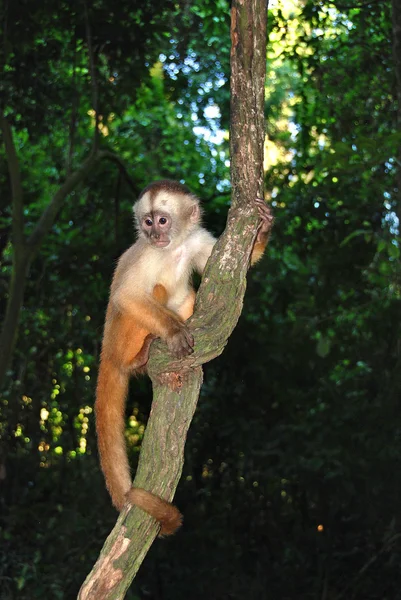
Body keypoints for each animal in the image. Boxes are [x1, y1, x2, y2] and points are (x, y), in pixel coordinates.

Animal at [95, 179, 274, 536]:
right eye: (147, 222)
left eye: (162, 221)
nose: (153, 234)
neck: (171, 248)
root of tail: (108, 352)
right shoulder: (145, 255)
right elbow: (126, 296)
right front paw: (174, 332)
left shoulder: (195, 240)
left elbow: (234, 263)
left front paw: (264, 227)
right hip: (120, 339)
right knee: (151, 294)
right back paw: (140, 358)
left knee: (186, 294)